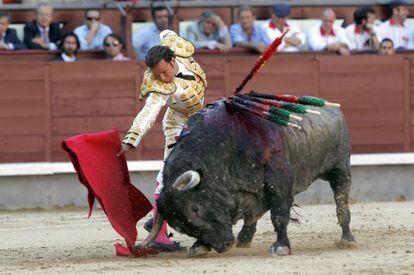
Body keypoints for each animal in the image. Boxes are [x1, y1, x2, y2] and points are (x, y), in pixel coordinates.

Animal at [142, 98, 356, 258]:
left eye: (195, 208)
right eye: (180, 226)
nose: (224, 245)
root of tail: (333, 108)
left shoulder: (278, 177)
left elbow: (279, 213)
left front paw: (281, 246)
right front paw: (199, 246)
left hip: (340, 169)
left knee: (341, 202)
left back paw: (347, 239)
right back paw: (244, 238)